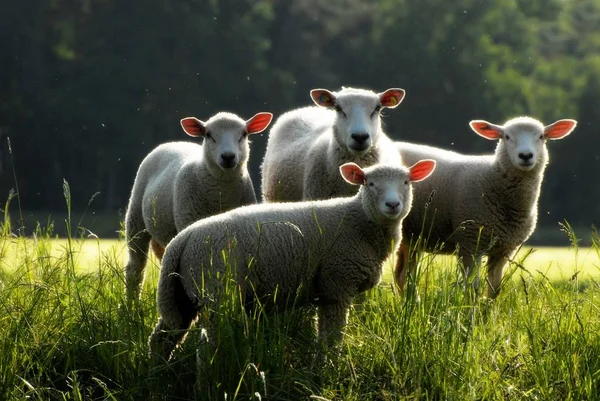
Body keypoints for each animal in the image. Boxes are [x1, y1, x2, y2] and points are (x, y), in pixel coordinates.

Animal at [125, 110, 274, 296]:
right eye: (208, 135)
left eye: (244, 134)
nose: (228, 156)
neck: (221, 194)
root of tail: (173, 142)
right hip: (136, 218)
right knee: (135, 269)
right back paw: (132, 302)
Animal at [145, 159, 436, 360]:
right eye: (370, 183)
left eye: (407, 183)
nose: (392, 205)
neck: (358, 220)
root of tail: (182, 240)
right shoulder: (338, 283)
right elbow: (333, 337)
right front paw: (331, 368)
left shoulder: (328, 290)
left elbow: (325, 337)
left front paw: (322, 365)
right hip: (217, 290)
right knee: (207, 350)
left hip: (180, 295)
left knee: (163, 338)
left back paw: (158, 374)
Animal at [394, 115, 576, 296]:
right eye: (507, 137)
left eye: (541, 136)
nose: (525, 155)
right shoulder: (470, 244)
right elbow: (472, 289)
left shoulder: (503, 250)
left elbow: (494, 290)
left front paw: (489, 305)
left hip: (413, 236)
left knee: (402, 275)